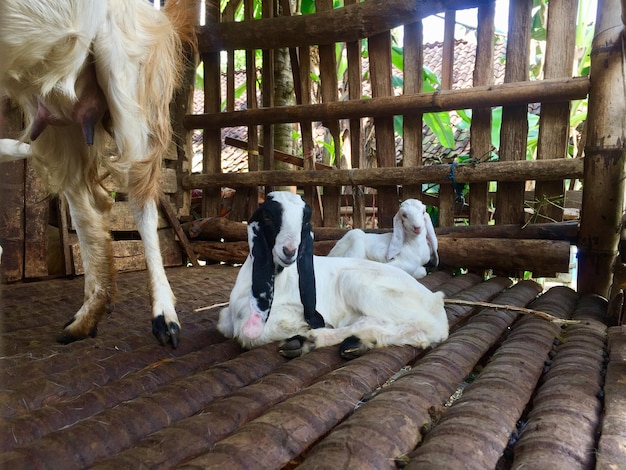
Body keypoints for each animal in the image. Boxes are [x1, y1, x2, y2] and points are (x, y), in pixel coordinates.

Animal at [0, 0, 195, 346]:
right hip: (60, 110)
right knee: (90, 202)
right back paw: (87, 317)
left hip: (124, 79)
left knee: (141, 199)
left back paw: (164, 316)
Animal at [217, 193, 446, 358]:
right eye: (267, 216)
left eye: (304, 220)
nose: (289, 250)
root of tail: (434, 299)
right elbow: (225, 322)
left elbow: (251, 334)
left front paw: (305, 330)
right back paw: (355, 342)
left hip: (360, 284)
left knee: (426, 327)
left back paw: (312, 339)